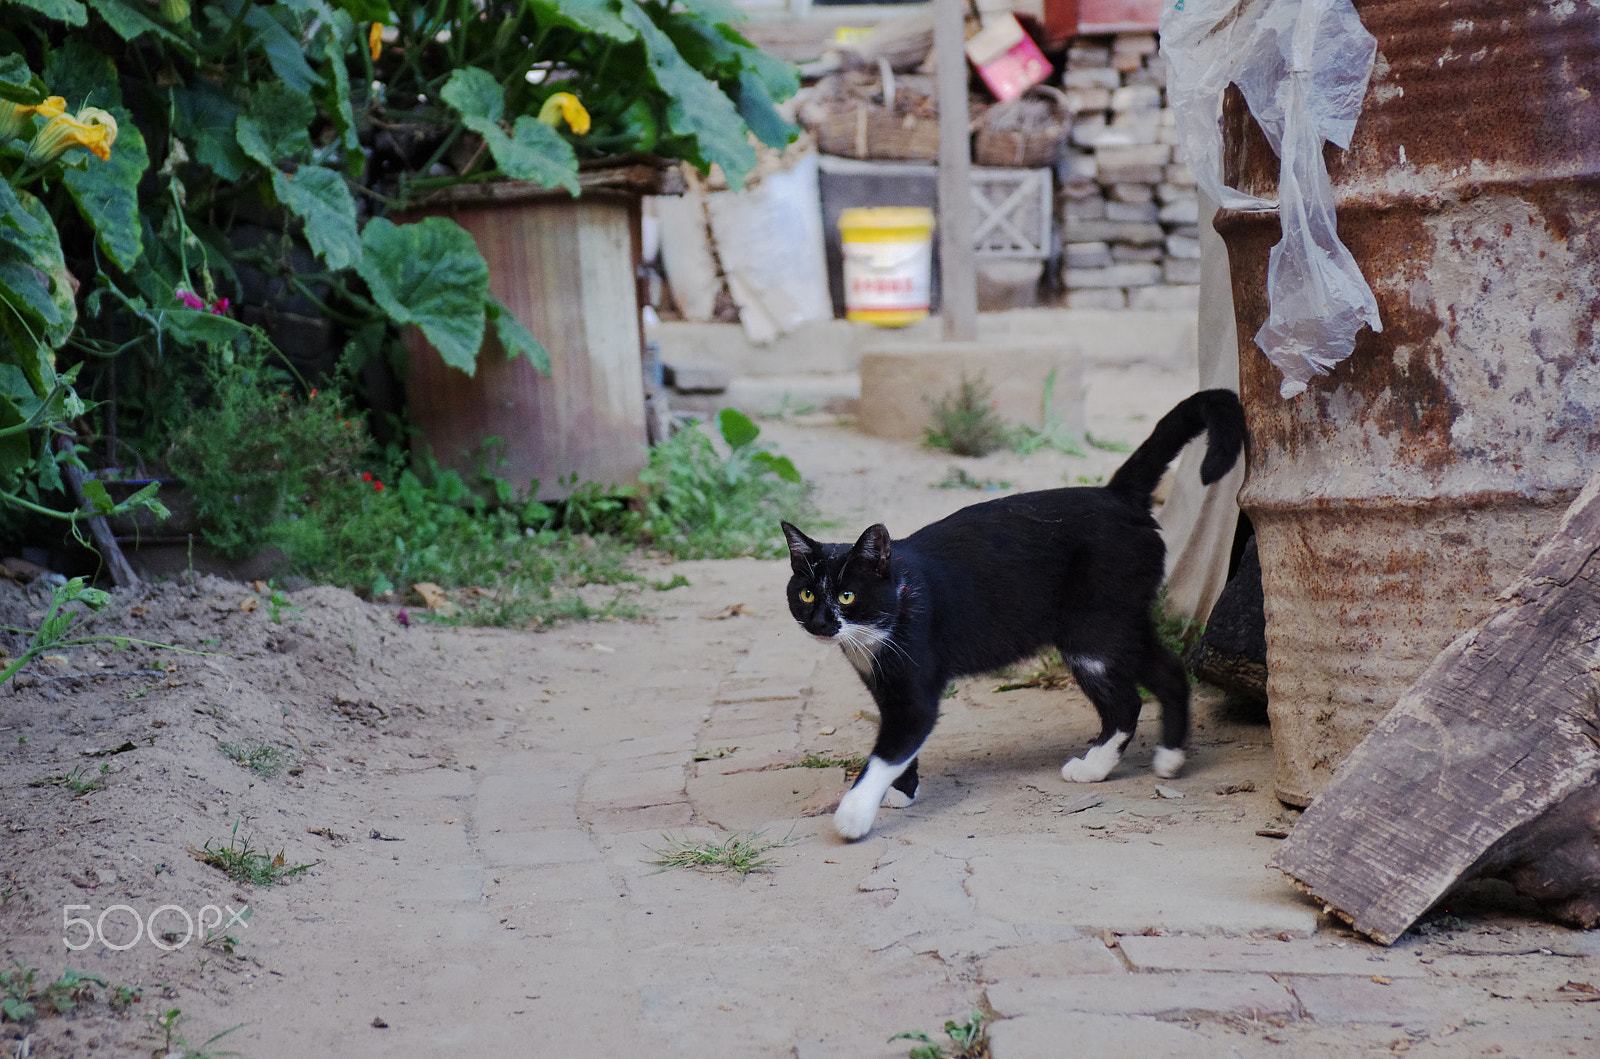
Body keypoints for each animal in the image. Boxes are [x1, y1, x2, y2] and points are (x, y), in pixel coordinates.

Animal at [784, 385, 1248, 844]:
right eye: (806, 593)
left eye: (846, 596)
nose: (821, 622)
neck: (878, 628)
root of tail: (1115, 493)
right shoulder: (886, 691)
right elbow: (901, 747)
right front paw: (902, 790)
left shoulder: (915, 693)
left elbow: (887, 752)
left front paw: (855, 813)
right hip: (1121, 619)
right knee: (1169, 670)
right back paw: (1170, 758)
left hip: (1091, 633)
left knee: (1126, 703)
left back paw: (1093, 767)